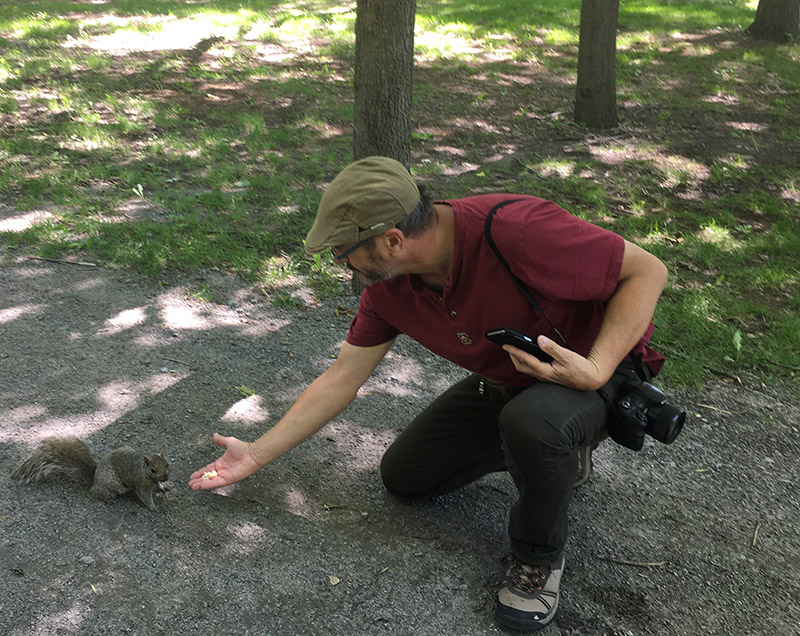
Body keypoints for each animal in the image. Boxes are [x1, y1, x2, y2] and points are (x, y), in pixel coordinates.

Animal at [13, 438, 170, 512]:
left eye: (167, 464)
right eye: (153, 470)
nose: (166, 478)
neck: (145, 473)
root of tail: (95, 476)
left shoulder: (153, 482)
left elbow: (157, 486)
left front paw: (163, 488)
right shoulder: (140, 484)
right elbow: (145, 496)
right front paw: (153, 507)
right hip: (111, 483)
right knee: (94, 492)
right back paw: (107, 499)